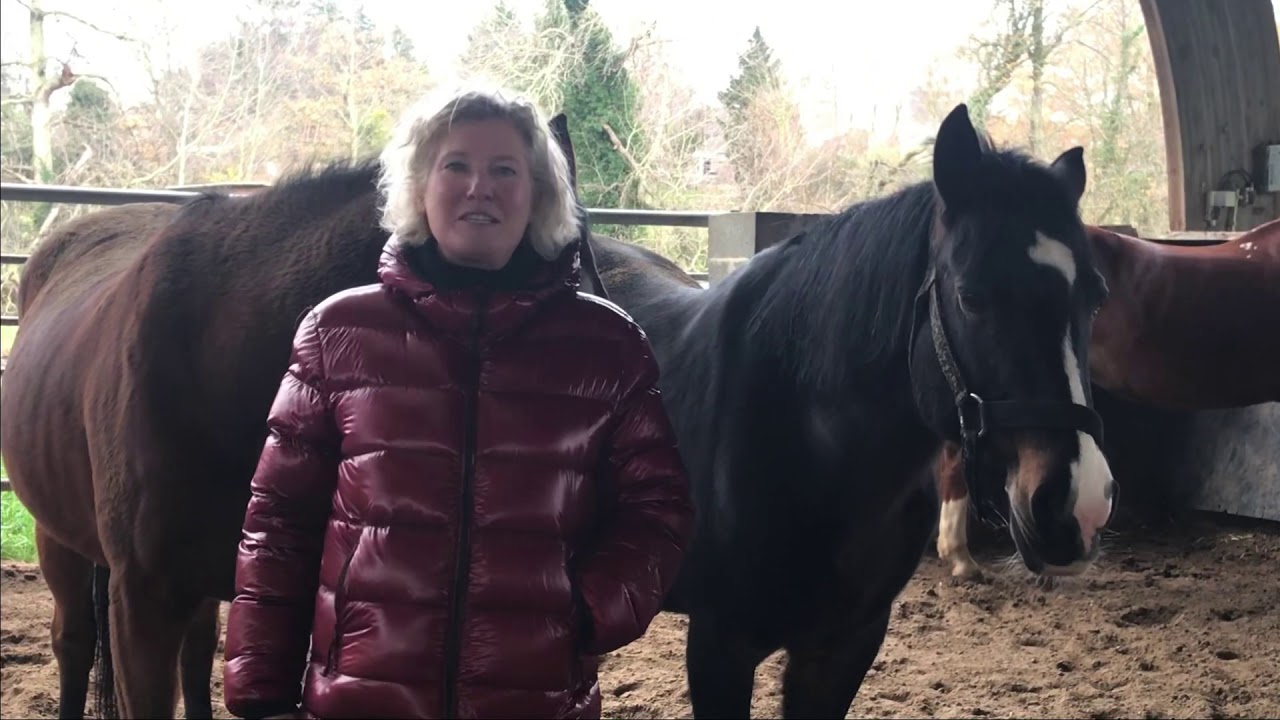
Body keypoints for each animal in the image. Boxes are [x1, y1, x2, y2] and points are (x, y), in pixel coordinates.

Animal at [589, 103, 1117, 717]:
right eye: (971, 297)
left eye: (1097, 297)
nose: (1078, 506)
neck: (813, 448)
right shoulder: (719, 646)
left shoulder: (844, 648)